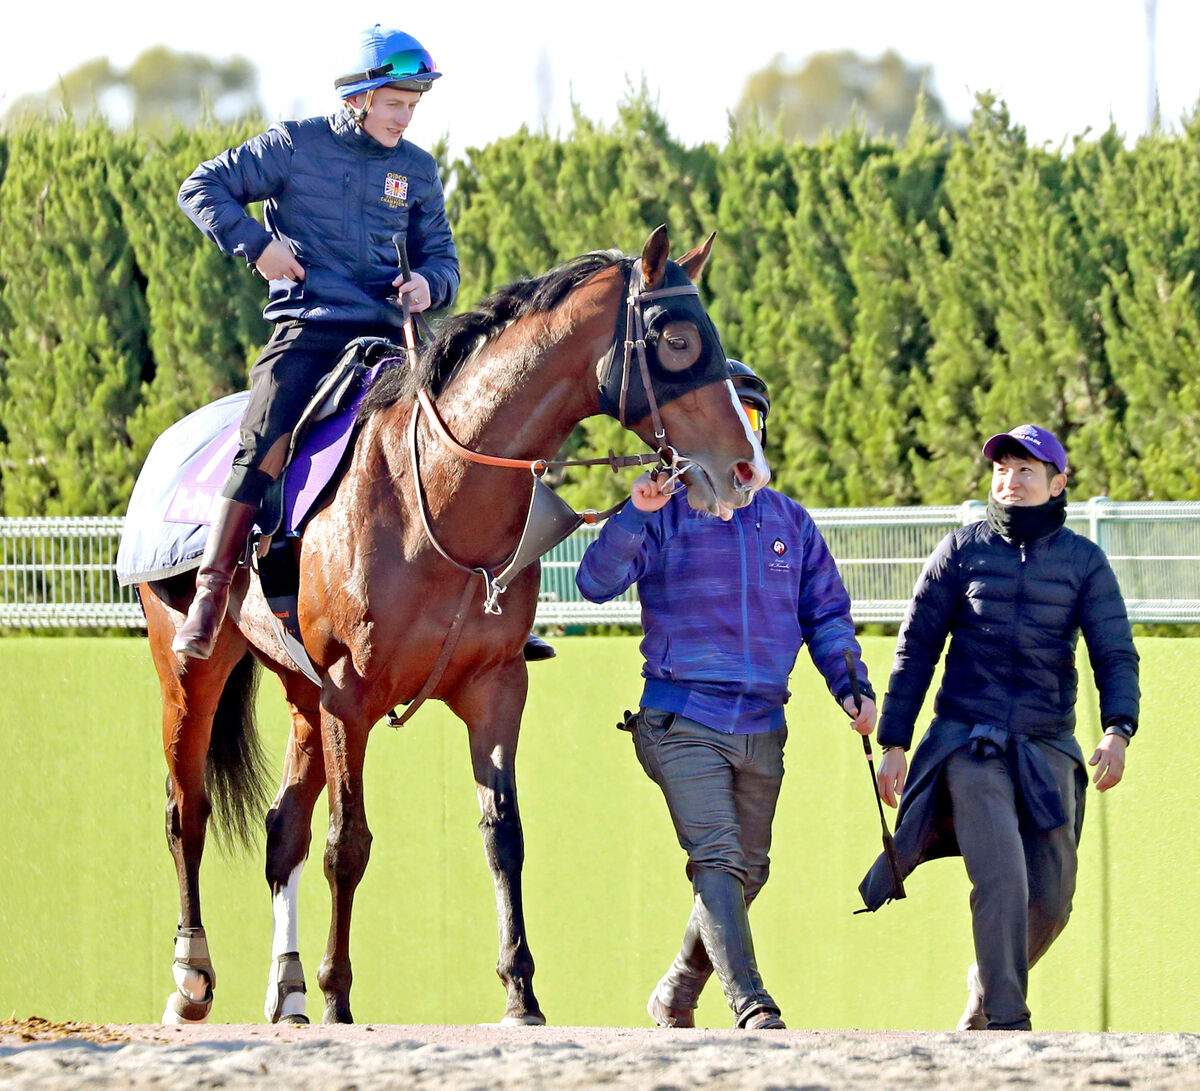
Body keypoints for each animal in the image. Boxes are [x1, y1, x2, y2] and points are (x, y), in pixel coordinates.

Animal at [138, 225, 768, 1027]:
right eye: (679, 340)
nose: (746, 469)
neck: (434, 493)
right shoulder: (350, 694)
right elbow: (349, 844)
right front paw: (339, 992)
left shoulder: (493, 688)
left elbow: (504, 836)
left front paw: (521, 991)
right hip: (190, 670)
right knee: (186, 811)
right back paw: (192, 975)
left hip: (302, 695)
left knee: (283, 831)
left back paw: (287, 991)